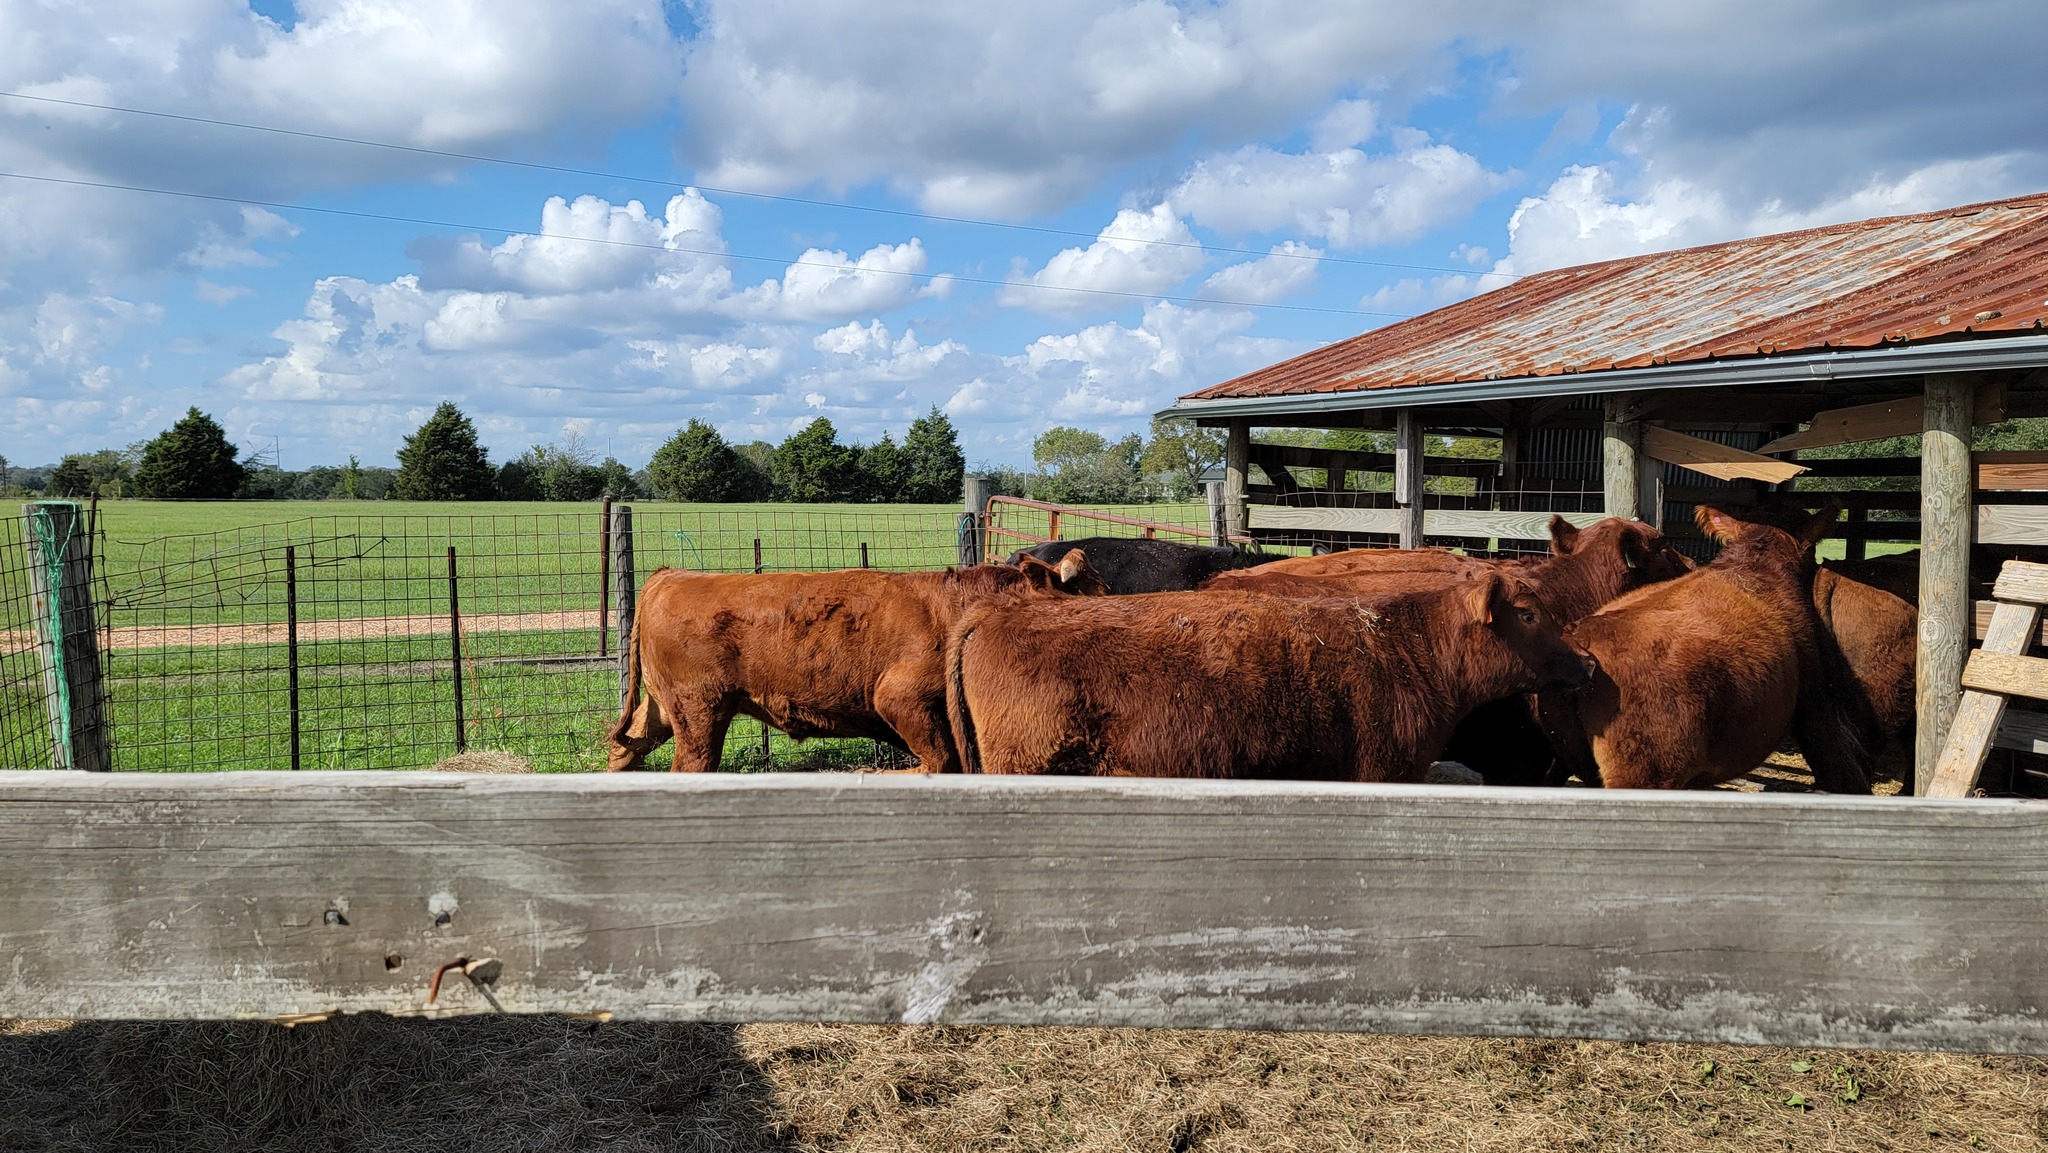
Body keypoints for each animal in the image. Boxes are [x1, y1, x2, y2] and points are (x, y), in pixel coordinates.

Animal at [607, 553, 1104, 773]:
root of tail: (669, 576)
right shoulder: (899, 698)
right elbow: (940, 761)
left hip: (665, 709)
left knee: (624, 748)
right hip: (700, 711)